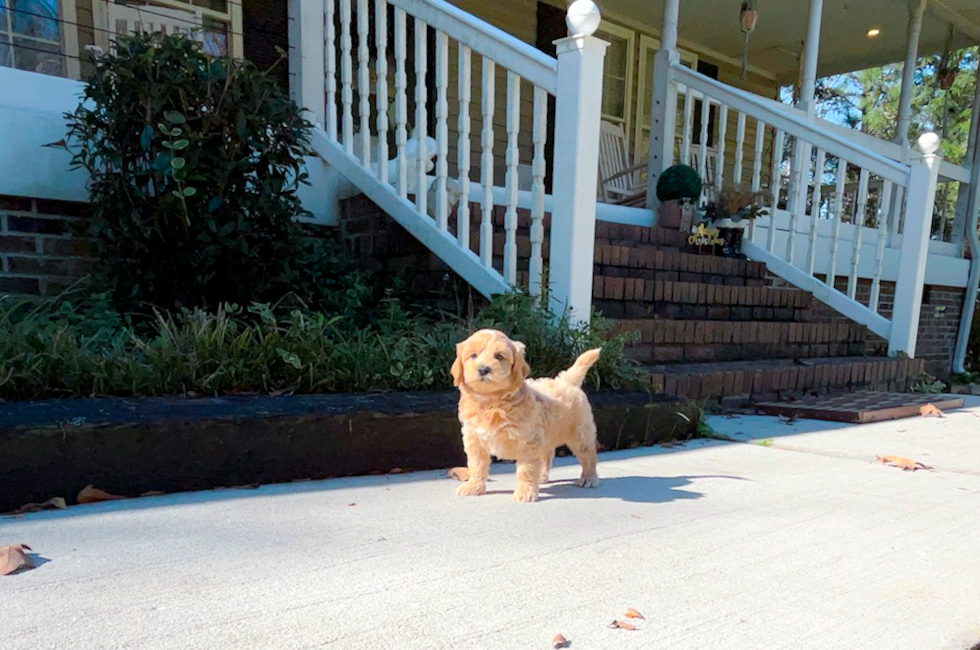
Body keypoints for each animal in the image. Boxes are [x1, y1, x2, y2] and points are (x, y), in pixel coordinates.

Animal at [450, 330, 600, 502]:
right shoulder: (474, 439)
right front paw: (474, 486)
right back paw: (541, 477)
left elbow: (526, 469)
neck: (491, 402)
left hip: (580, 434)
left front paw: (525, 491)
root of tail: (566, 381)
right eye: (473, 355)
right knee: (546, 454)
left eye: (499, 356)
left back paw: (589, 478)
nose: (483, 369)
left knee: (588, 456)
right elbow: (476, 464)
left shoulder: (528, 441)